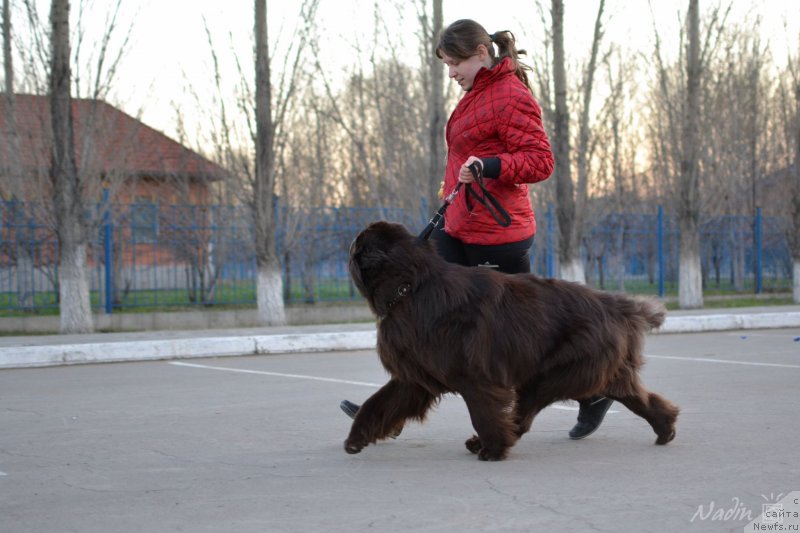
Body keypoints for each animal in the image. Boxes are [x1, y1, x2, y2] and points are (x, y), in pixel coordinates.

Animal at [346, 220, 680, 458]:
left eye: (358, 245)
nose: (350, 246)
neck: (411, 287)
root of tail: (615, 304)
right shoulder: (414, 378)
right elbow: (378, 404)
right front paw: (355, 439)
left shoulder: (475, 378)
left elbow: (483, 413)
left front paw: (493, 450)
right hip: (598, 373)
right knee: (641, 399)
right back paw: (666, 430)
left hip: (547, 377)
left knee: (523, 416)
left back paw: (485, 444)